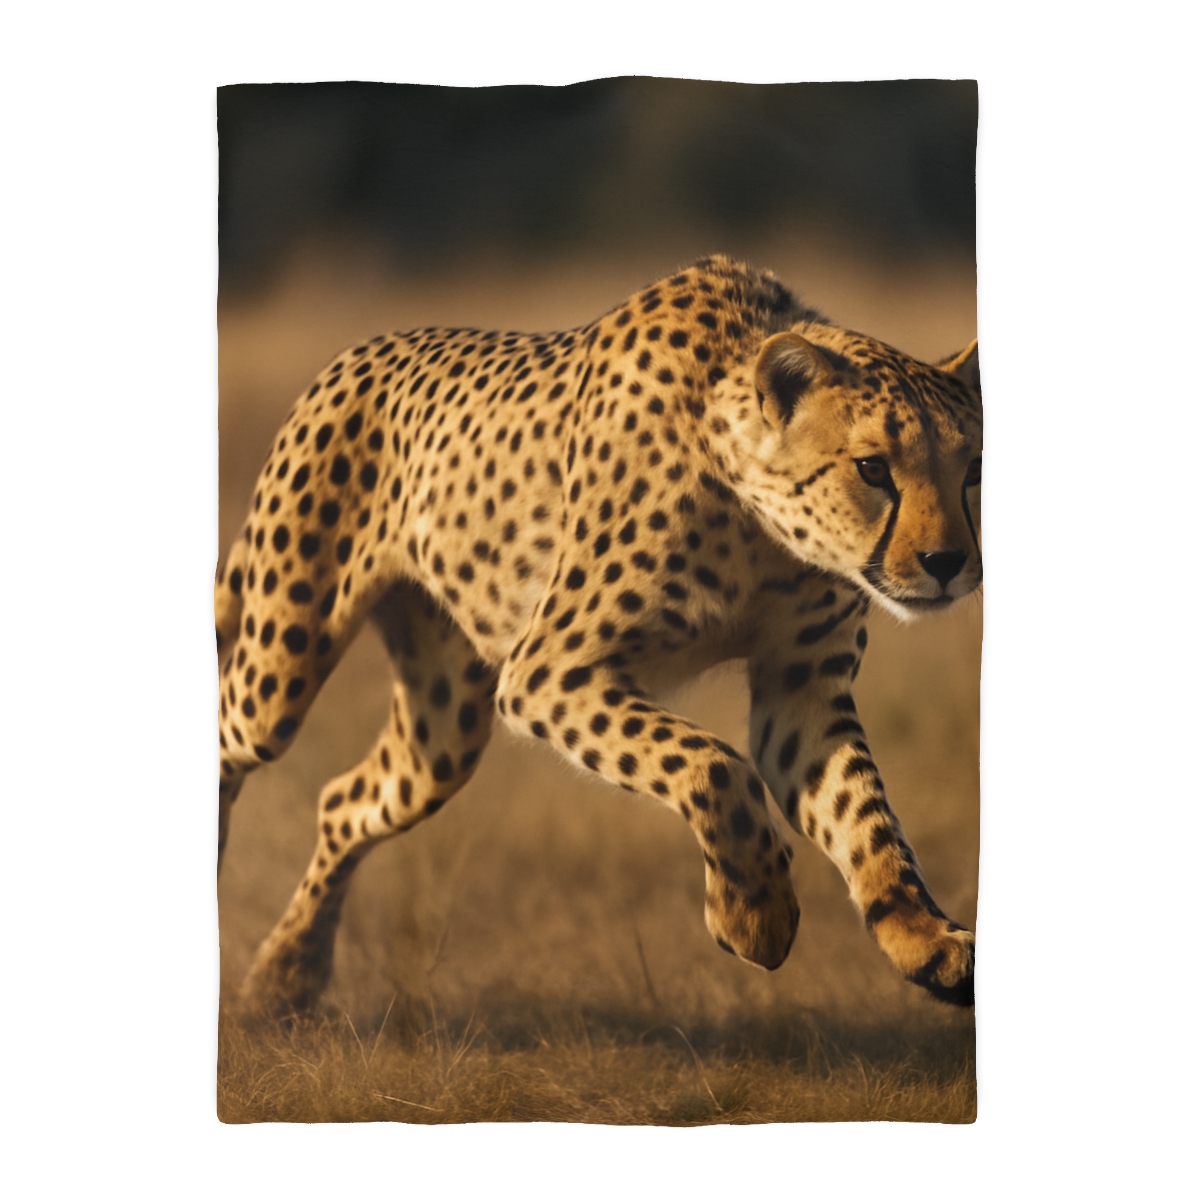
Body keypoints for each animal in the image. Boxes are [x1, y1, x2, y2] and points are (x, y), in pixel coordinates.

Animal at [215, 254, 982, 1016]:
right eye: (872, 468)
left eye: (974, 470)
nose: (947, 563)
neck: (761, 528)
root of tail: (358, 353)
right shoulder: (549, 670)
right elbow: (714, 765)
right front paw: (753, 914)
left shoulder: (801, 692)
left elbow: (866, 817)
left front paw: (925, 940)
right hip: (281, 668)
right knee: (232, 736)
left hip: (443, 729)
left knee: (345, 801)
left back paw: (285, 979)